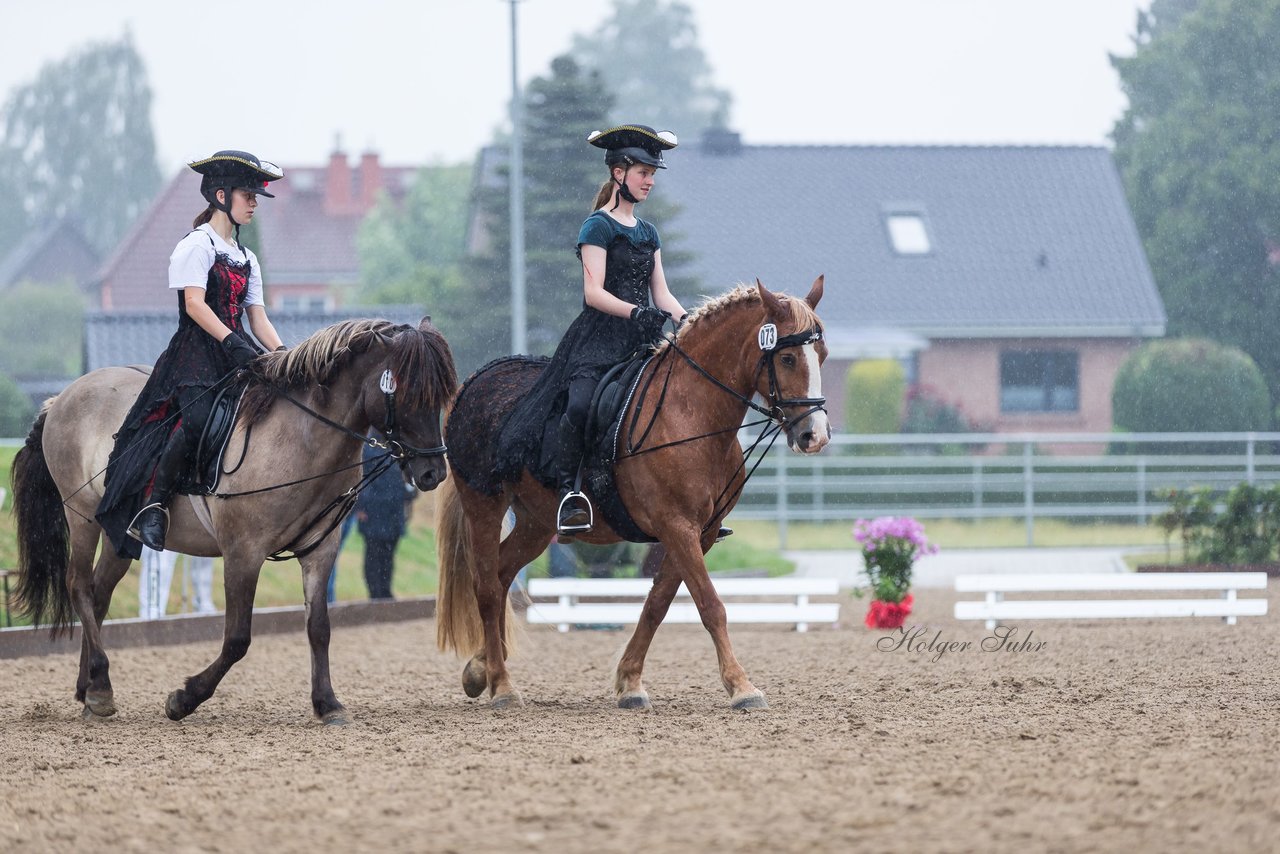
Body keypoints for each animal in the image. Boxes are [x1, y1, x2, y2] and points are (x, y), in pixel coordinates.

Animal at [12, 317, 458, 727]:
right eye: (407, 392)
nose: (433, 472)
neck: (303, 438)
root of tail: (63, 396)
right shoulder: (243, 553)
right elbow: (238, 638)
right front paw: (184, 698)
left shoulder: (320, 549)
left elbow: (319, 627)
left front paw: (328, 704)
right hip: (83, 516)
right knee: (78, 586)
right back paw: (101, 685)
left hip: (118, 531)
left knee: (98, 593)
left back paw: (89, 689)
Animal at [437, 279, 829, 706]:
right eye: (787, 358)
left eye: (822, 355)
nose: (815, 436)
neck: (690, 413)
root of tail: (473, 384)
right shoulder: (676, 526)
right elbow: (710, 604)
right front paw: (742, 687)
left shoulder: (701, 532)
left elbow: (657, 604)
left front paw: (630, 683)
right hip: (484, 503)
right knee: (487, 588)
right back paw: (503, 686)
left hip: (536, 523)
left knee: (503, 572)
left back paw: (480, 671)